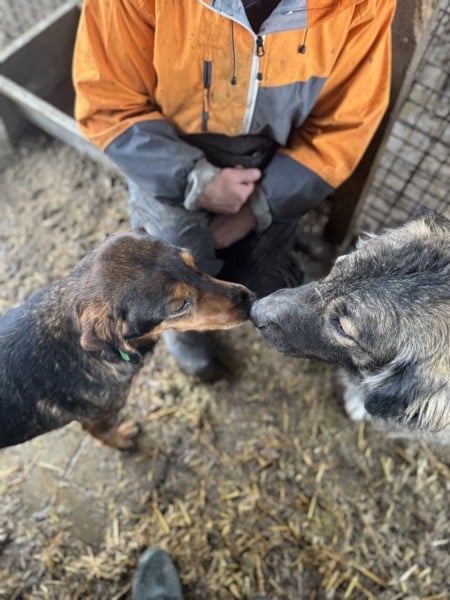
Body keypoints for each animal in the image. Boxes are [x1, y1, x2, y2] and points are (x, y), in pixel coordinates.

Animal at [0, 229, 254, 449]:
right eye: (180, 305)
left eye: (194, 264)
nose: (249, 299)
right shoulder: (97, 418)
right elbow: (102, 433)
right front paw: (121, 439)